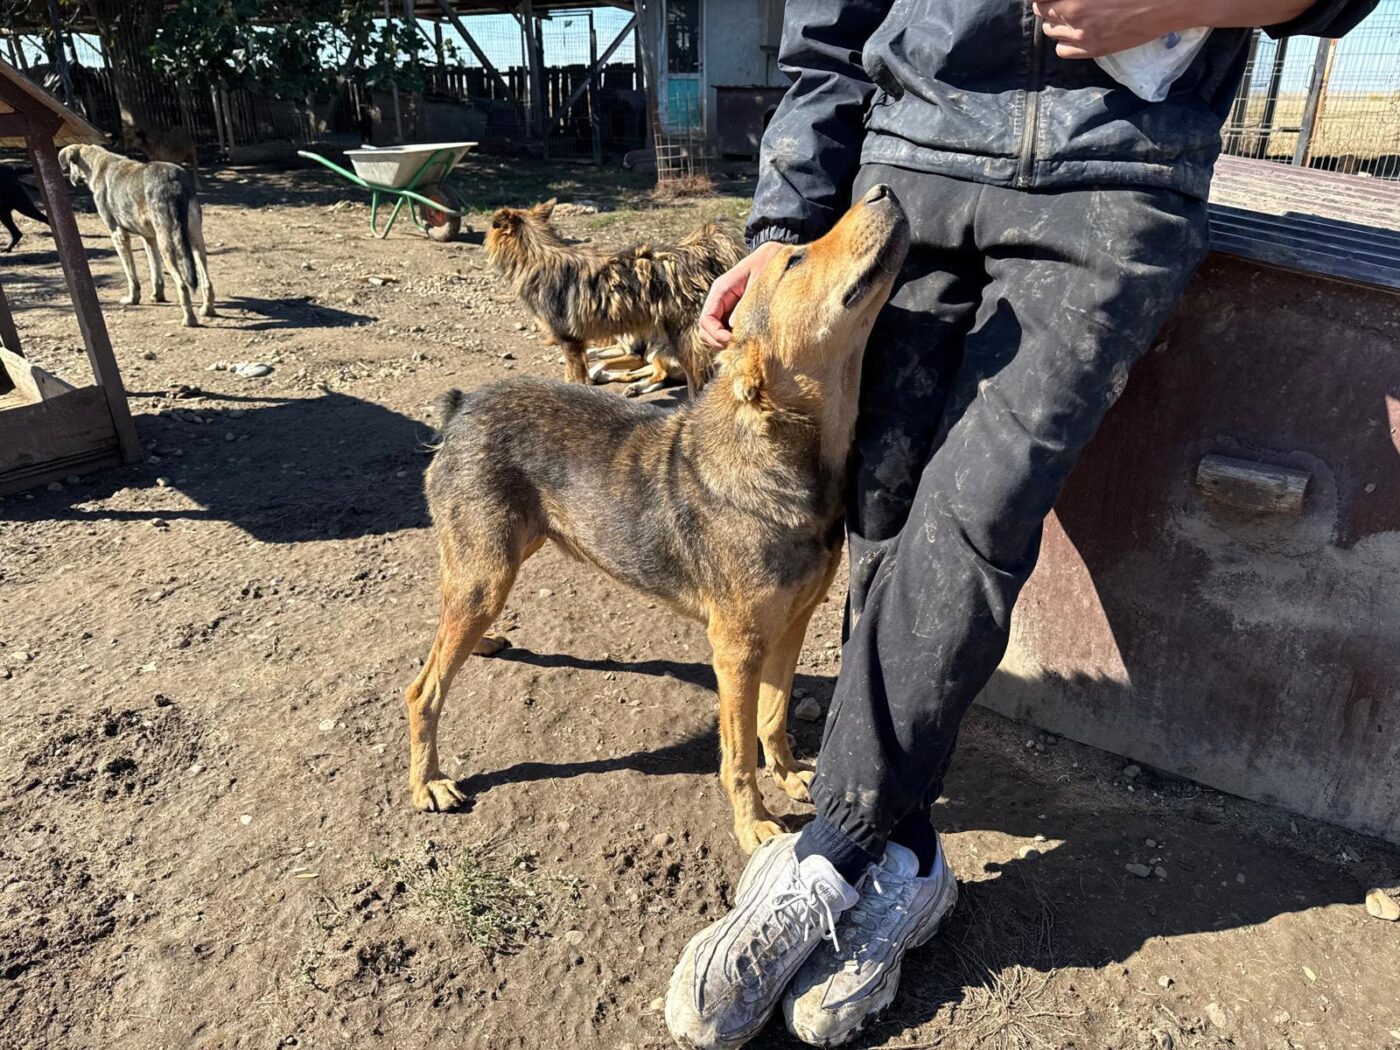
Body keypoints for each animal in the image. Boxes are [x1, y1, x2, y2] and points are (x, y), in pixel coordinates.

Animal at [57, 144, 216, 327]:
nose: (71, 180)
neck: (97, 162)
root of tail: (175, 181)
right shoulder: (149, 238)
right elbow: (155, 272)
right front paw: (157, 296)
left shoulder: (118, 236)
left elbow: (131, 276)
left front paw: (132, 299)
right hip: (195, 241)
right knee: (206, 281)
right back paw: (207, 310)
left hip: (168, 244)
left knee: (182, 284)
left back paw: (189, 319)